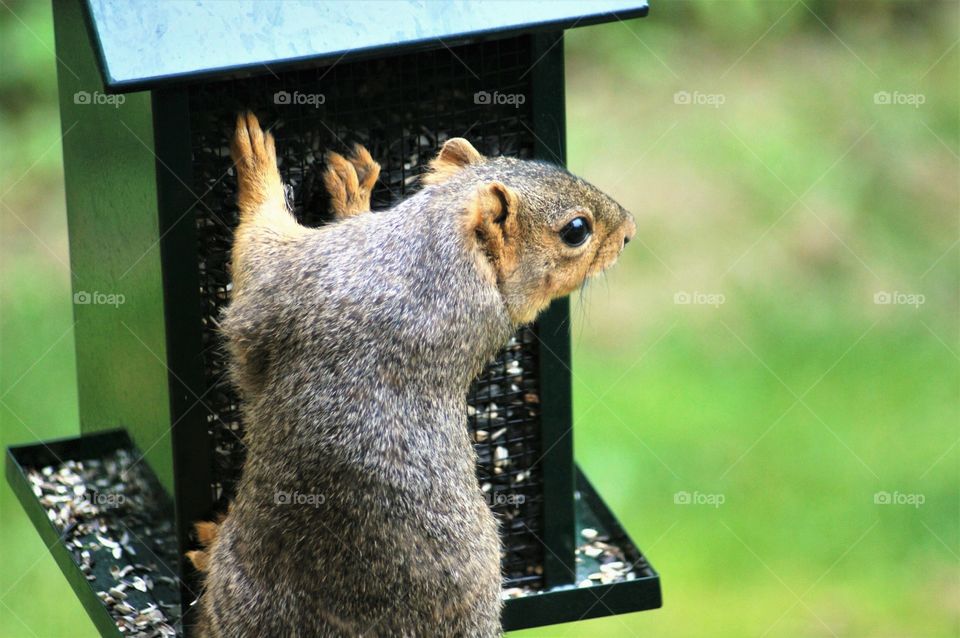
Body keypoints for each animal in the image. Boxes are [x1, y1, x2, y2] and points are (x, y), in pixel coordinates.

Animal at [189, 111, 635, 637]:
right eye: (577, 230)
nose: (629, 230)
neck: (436, 249)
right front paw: (353, 193)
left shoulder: (289, 282)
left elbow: (256, 253)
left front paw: (258, 164)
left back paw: (207, 542)